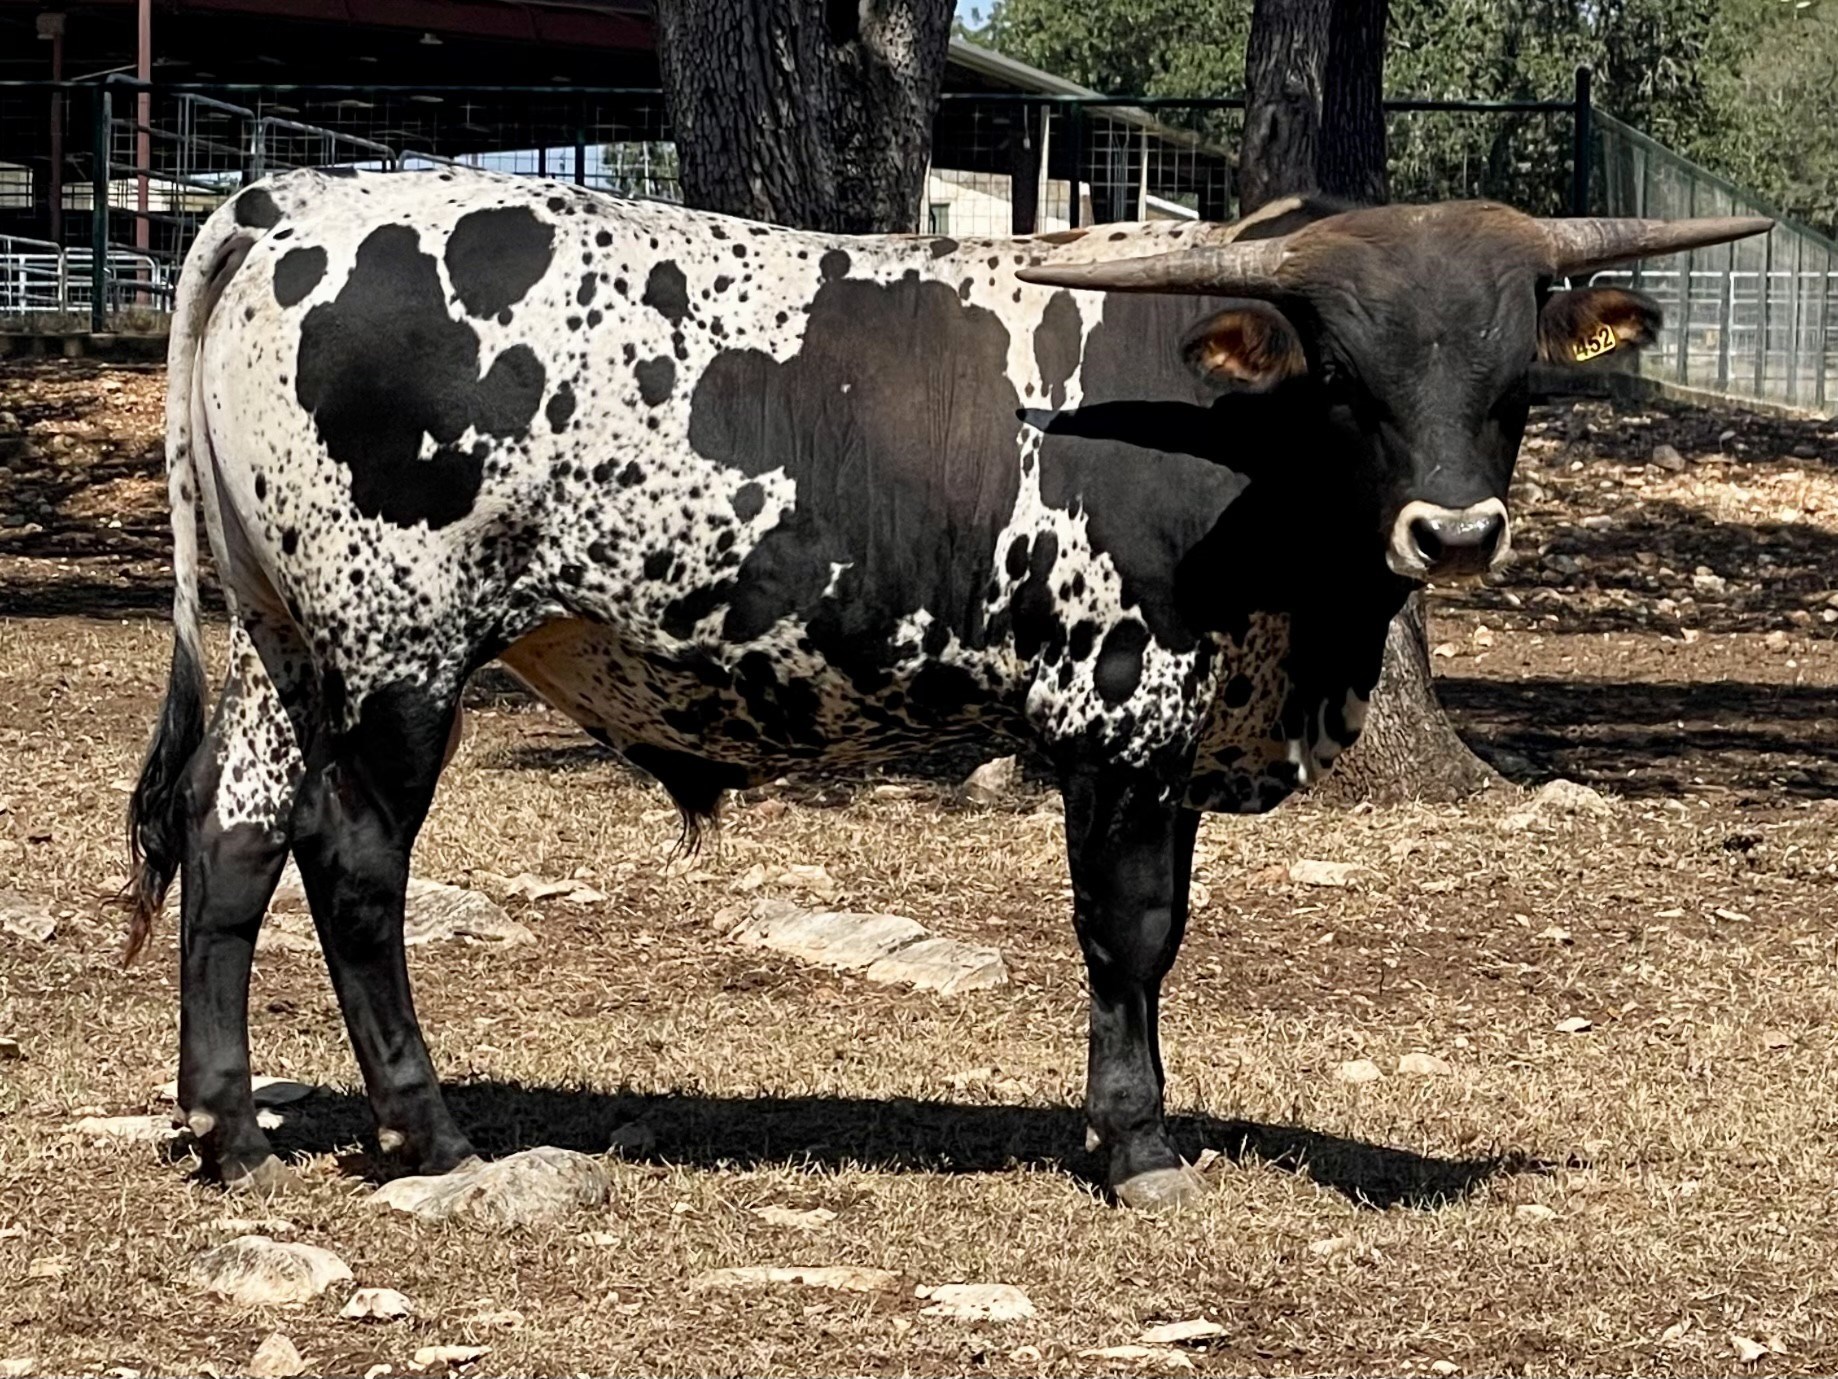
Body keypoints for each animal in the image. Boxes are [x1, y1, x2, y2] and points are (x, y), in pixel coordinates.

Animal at [124, 166, 1766, 1210]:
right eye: (1346, 378)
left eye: (1513, 382)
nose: (1454, 531)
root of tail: (287, 204)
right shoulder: (1117, 714)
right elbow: (1130, 931)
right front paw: (1134, 1142)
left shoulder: (1178, 736)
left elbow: (1160, 929)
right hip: (397, 651)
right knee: (349, 862)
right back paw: (429, 1131)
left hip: (281, 643)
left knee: (230, 841)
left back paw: (228, 1125)